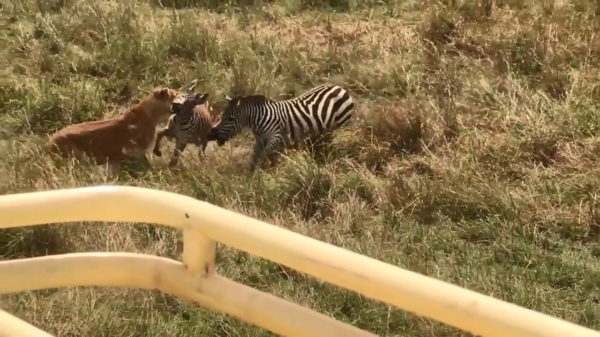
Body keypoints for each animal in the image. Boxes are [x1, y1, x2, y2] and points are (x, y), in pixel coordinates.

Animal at [207, 81, 354, 171]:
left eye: (230, 119)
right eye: (222, 116)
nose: (211, 134)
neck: (258, 122)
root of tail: (339, 87)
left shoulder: (275, 137)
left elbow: (264, 154)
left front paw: (264, 172)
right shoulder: (259, 140)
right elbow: (255, 156)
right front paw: (250, 174)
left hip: (343, 125)